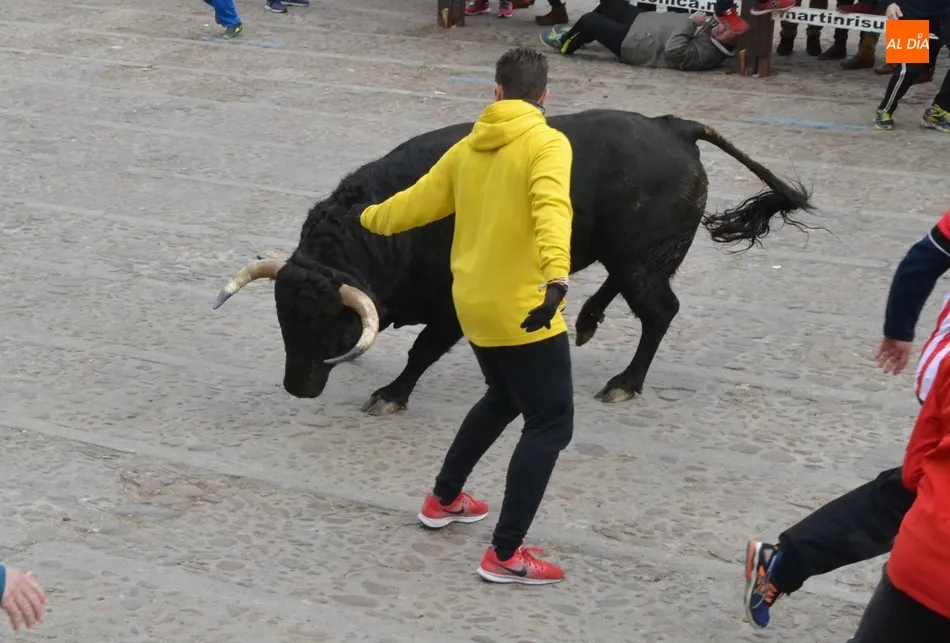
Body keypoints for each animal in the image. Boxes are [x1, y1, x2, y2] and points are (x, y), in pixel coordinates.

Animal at [212, 108, 814, 416]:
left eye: (329, 325)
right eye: (284, 320)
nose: (297, 387)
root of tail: (674, 126)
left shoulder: (451, 309)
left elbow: (423, 350)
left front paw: (391, 395)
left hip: (645, 258)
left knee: (660, 310)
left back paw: (624, 382)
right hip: (629, 254)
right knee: (623, 288)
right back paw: (588, 321)